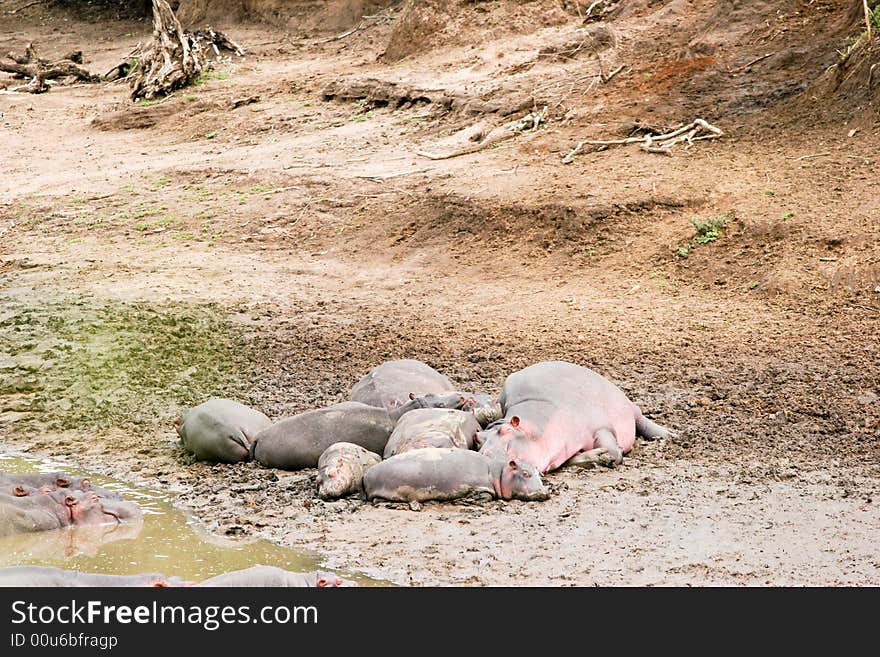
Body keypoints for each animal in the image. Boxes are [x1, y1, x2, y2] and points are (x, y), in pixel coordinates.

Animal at [360, 448, 548, 504]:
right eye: (525, 473)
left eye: (539, 472)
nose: (543, 492)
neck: (499, 472)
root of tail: (366, 474)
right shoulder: (480, 485)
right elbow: (484, 495)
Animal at [474, 358, 672, 472]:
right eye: (478, 438)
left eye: (506, 431)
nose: (486, 457)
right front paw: (596, 457)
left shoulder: (598, 425)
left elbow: (615, 452)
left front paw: (605, 456)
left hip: (626, 404)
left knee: (641, 419)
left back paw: (671, 436)